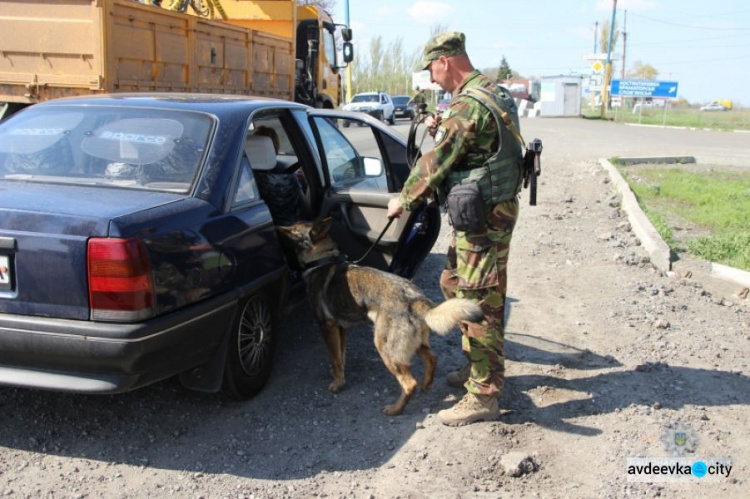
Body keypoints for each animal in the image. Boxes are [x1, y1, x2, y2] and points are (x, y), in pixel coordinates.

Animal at [280, 219, 484, 418]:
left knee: (409, 383)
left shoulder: (327, 326)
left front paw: (337, 384)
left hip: (385, 347)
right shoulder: (340, 328)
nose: (278, 227)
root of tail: (414, 298)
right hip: (414, 343)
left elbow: (336, 359)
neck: (322, 259)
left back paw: (395, 409)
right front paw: (337, 374)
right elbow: (339, 355)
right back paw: (426, 384)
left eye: (295, 229)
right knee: (432, 358)